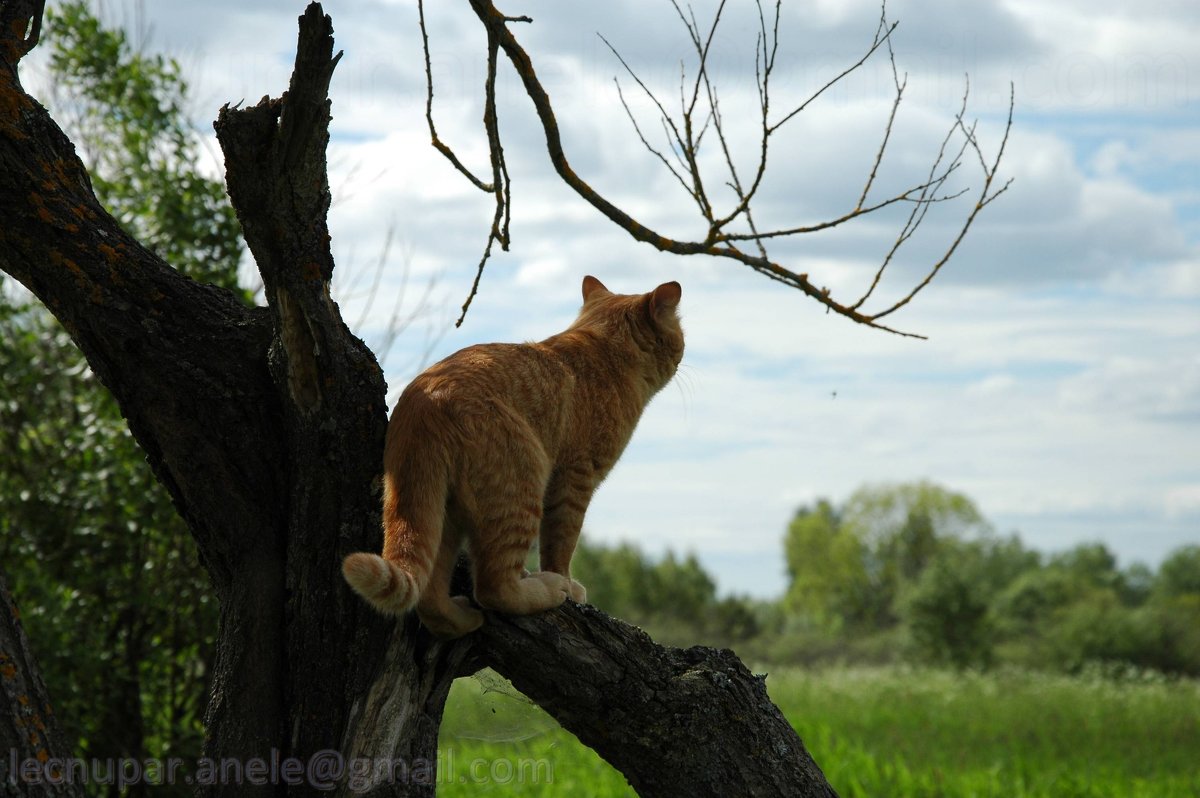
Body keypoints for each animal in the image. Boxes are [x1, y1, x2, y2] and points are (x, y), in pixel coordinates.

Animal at [343, 273, 691, 633]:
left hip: (441, 513)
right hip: (524, 483)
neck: (604, 353)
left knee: (431, 597)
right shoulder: (576, 478)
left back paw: (463, 619)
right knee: (494, 587)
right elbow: (561, 543)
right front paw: (567, 583)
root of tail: (424, 402)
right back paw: (548, 588)